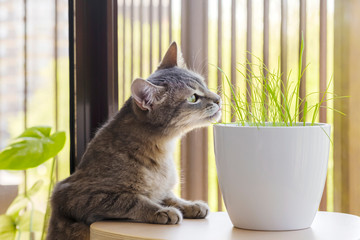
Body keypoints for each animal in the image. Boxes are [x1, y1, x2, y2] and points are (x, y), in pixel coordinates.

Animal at [46, 42, 221, 239]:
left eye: (204, 84)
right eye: (193, 98)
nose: (218, 99)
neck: (163, 152)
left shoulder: (163, 189)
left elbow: (168, 195)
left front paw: (190, 205)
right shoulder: (74, 195)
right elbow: (133, 199)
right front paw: (161, 211)